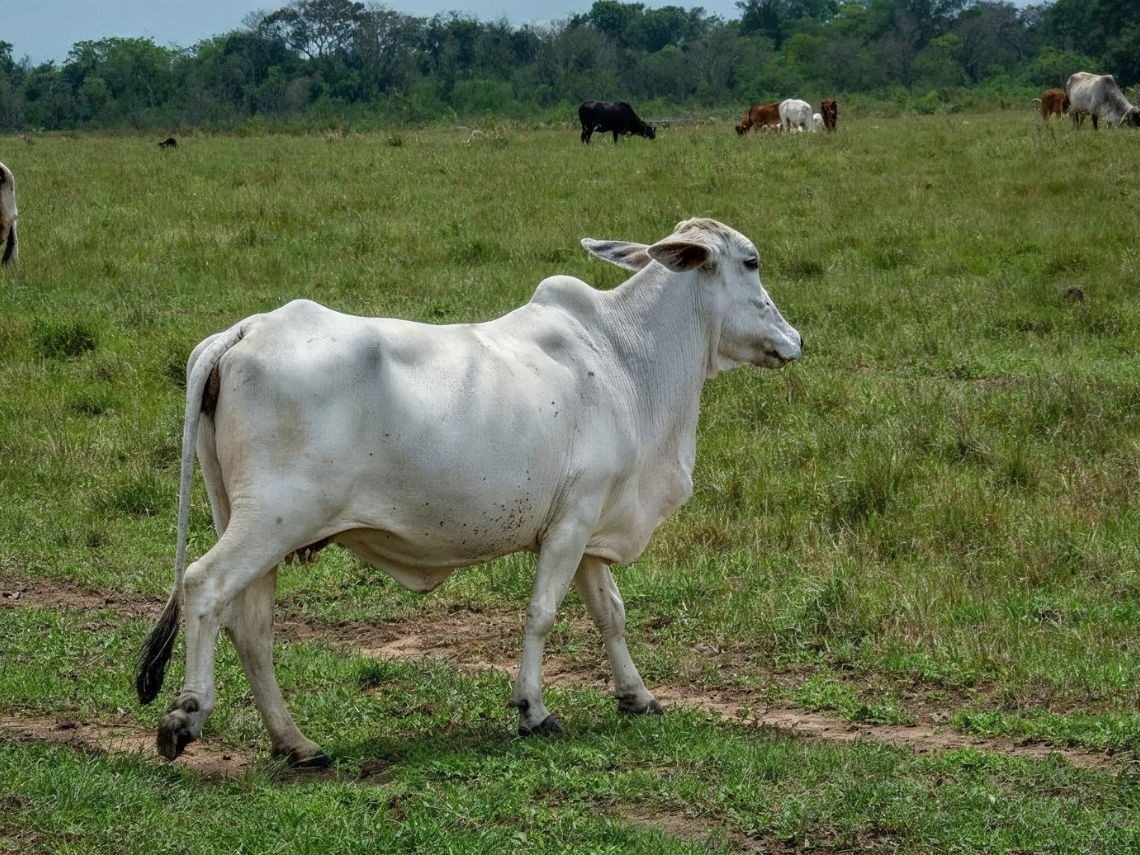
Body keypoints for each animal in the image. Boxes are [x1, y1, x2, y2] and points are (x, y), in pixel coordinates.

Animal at [136, 218, 803, 768]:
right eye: (751, 262)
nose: (794, 338)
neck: (624, 355)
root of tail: (247, 329)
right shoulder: (571, 521)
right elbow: (541, 613)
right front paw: (533, 709)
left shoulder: (590, 524)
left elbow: (610, 614)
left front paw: (636, 695)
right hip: (272, 519)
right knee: (203, 586)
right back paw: (187, 714)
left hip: (249, 520)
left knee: (251, 625)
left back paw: (295, 743)